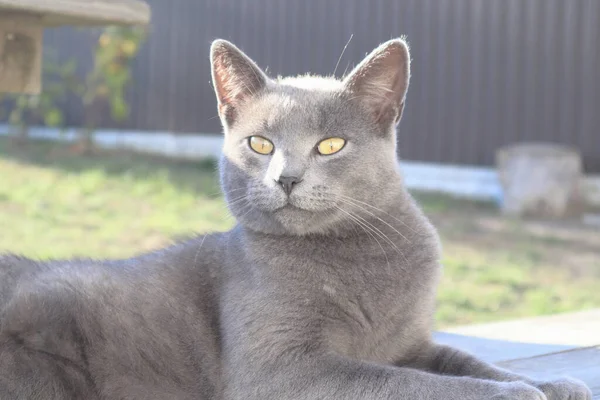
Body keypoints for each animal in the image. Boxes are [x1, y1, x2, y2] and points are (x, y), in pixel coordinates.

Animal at [0, 38, 592, 400]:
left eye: (331, 144)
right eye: (260, 144)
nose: (285, 178)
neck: (353, 254)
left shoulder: (413, 343)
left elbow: (463, 360)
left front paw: (553, 384)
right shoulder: (279, 369)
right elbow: (401, 381)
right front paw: (517, 392)